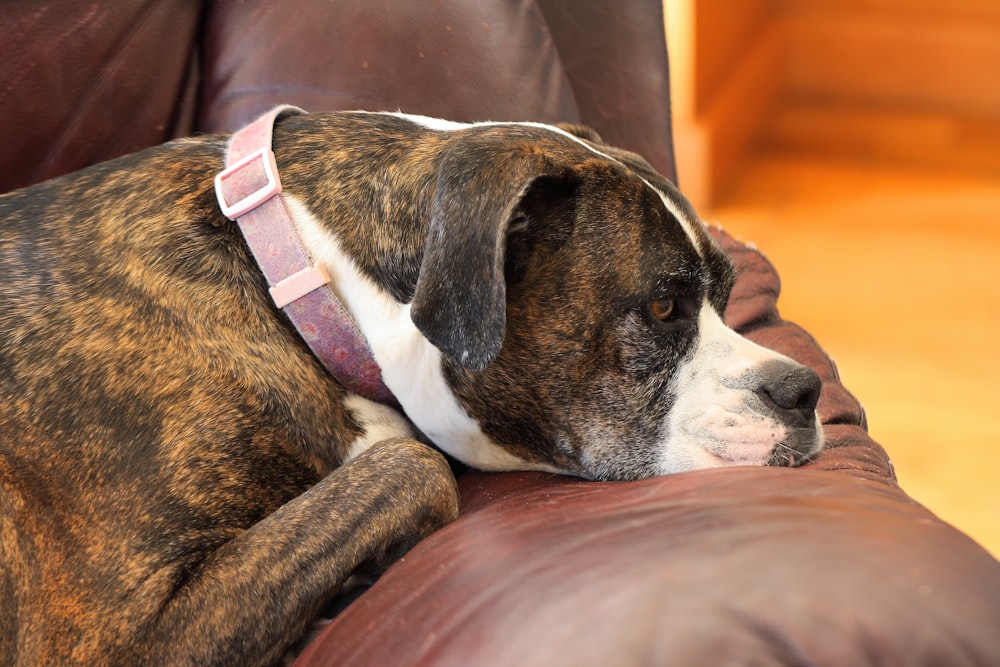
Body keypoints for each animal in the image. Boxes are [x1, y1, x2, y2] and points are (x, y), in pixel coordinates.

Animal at [0, 107, 820, 664]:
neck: (297, 275)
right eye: (661, 308)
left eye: (726, 292)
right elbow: (409, 462)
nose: (804, 390)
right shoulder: (117, 637)